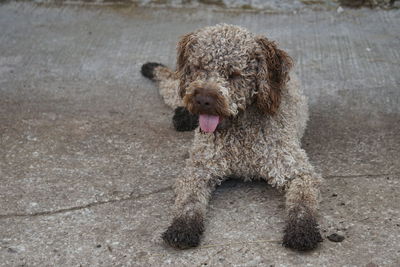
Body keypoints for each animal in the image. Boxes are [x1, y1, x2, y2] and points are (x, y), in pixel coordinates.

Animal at [141, 24, 322, 252]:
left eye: (234, 74)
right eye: (199, 67)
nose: (203, 100)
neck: (239, 129)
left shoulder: (297, 171)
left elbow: (303, 200)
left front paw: (302, 229)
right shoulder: (198, 171)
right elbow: (189, 201)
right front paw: (182, 227)